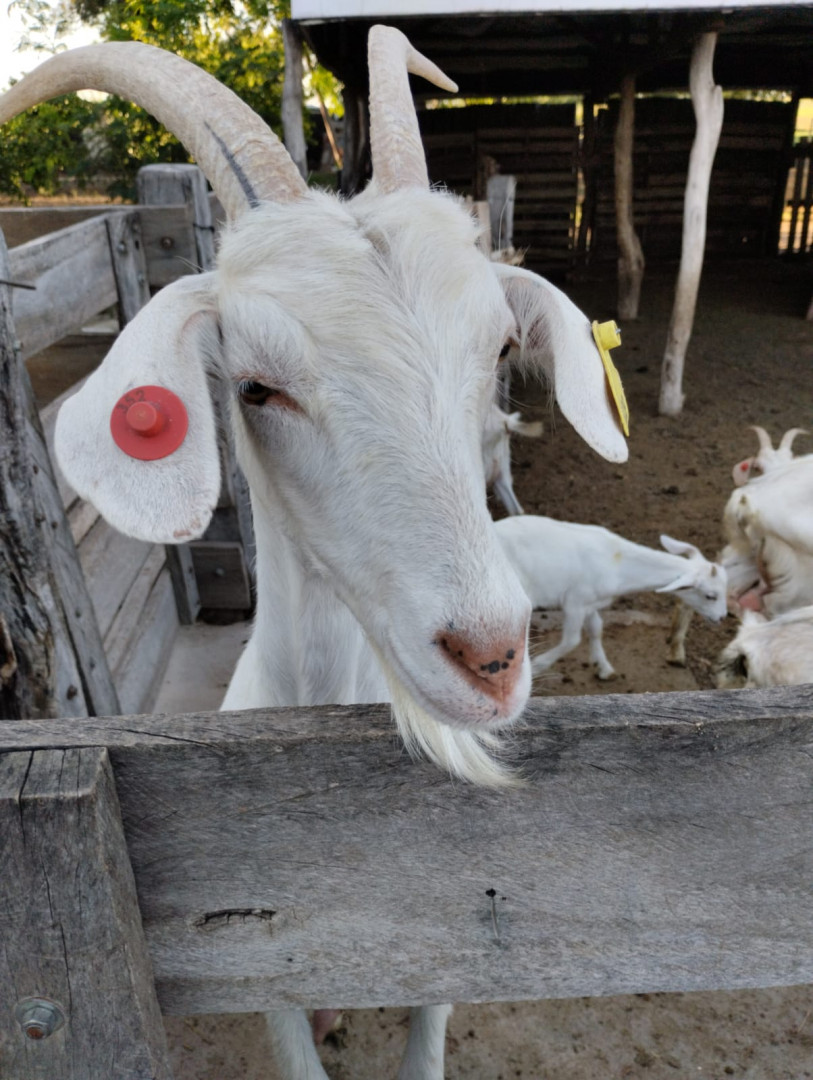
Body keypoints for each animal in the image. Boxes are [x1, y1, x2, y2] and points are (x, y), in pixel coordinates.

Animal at [494, 515, 726, 680]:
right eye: (710, 596)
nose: (722, 618)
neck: (618, 565)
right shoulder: (575, 602)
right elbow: (572, 639)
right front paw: (537, 665)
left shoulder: (591, 602)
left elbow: (596, 629)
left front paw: (604, 669)